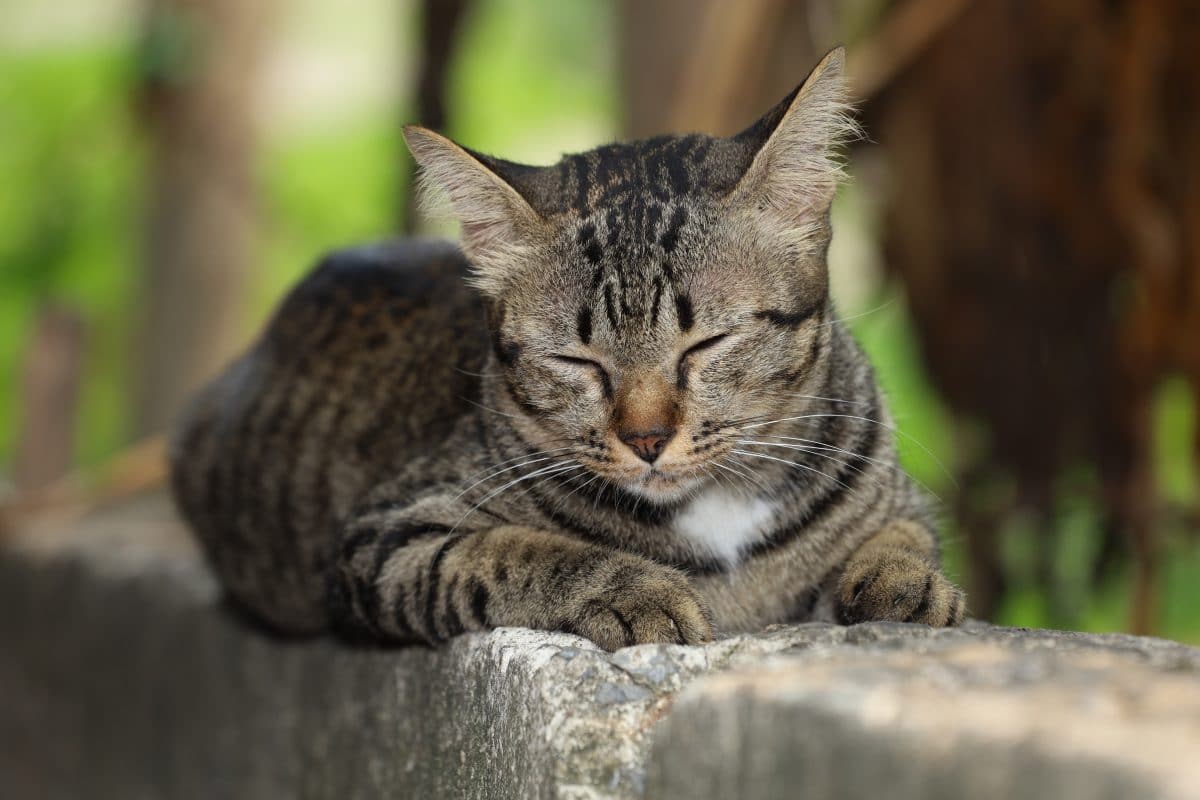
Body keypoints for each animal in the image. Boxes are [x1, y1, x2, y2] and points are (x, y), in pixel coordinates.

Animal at [171, 48, 964, 652]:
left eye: (707, 343)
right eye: (576, 361)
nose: (646, 439)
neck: (716, 512)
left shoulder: (896, 492)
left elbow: (904, 532)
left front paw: (902, 578)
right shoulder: (383, 539)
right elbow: (510, 552)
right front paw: (630, 587)